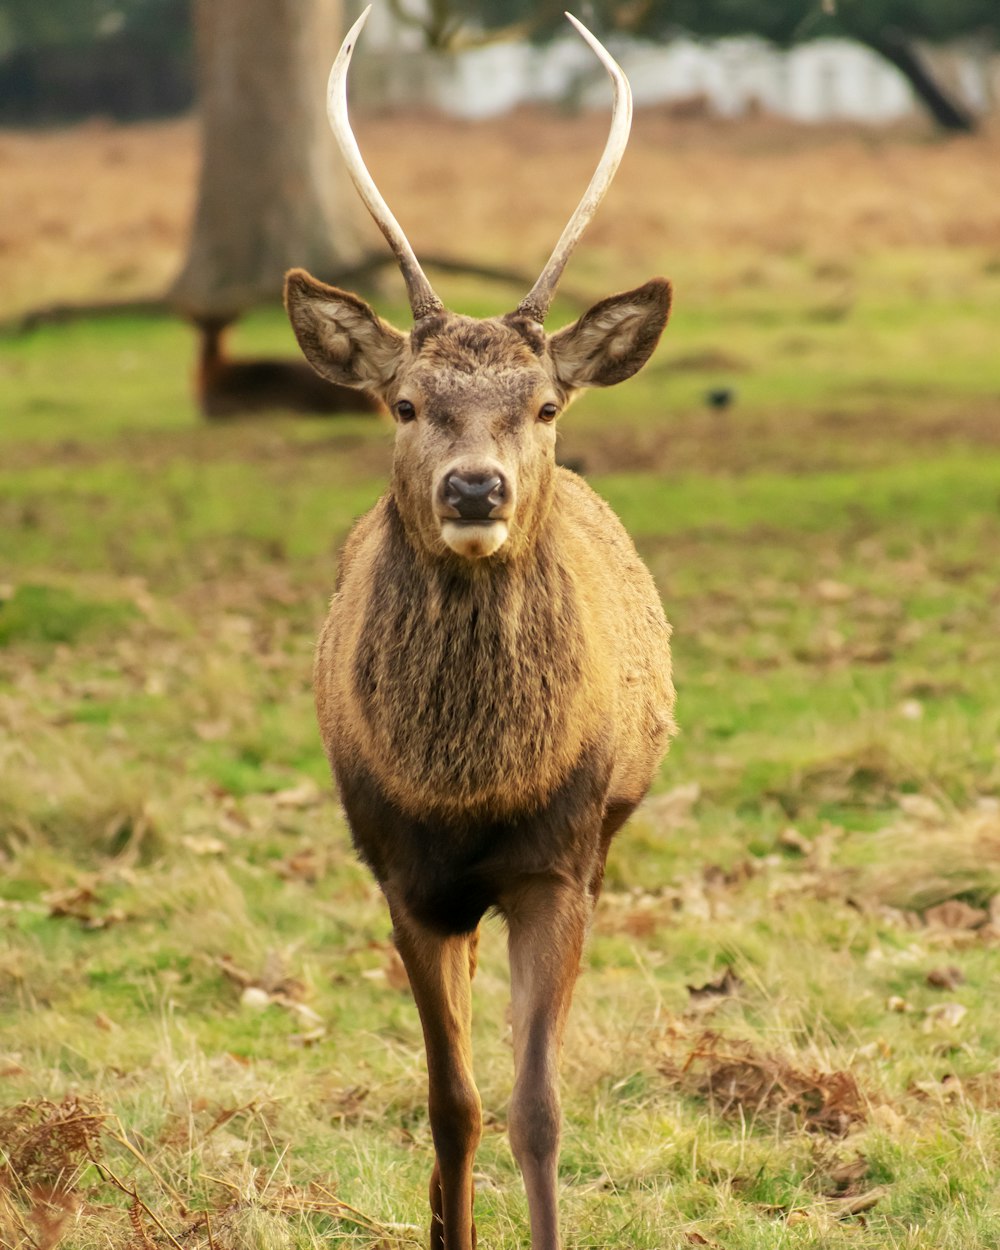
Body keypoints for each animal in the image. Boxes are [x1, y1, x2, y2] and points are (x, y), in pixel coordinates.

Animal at [285, 12, 675, 1250]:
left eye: (543, 405)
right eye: (405, 402)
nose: (472, 487)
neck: (471, 788)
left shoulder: (561, 854)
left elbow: (535, 1103)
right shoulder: (402, 870)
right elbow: (450, 1102)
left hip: (600, 846)